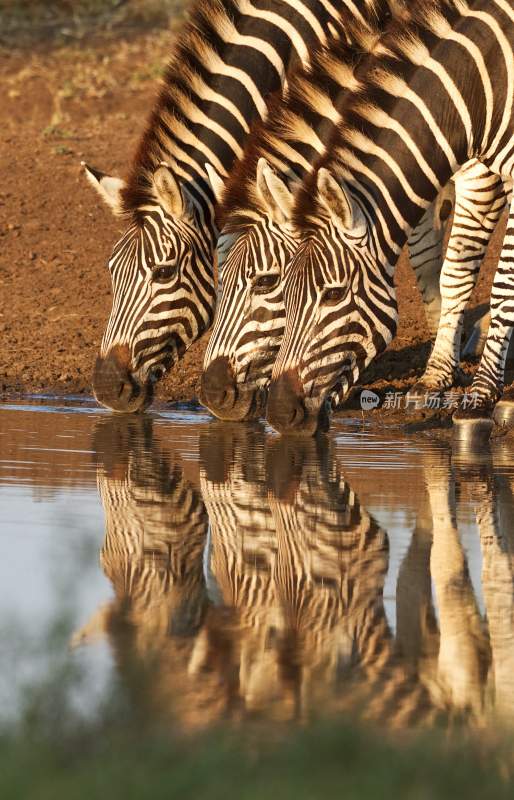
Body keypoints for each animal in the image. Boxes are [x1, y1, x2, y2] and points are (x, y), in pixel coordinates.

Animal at [264, 0, 512, 438]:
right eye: (282, 290)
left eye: (333, 295)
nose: (278, 413)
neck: (482, 88)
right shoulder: (484, 168)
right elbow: (454, 273)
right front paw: (437, 380)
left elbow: (502, 286)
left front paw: (481, 398)